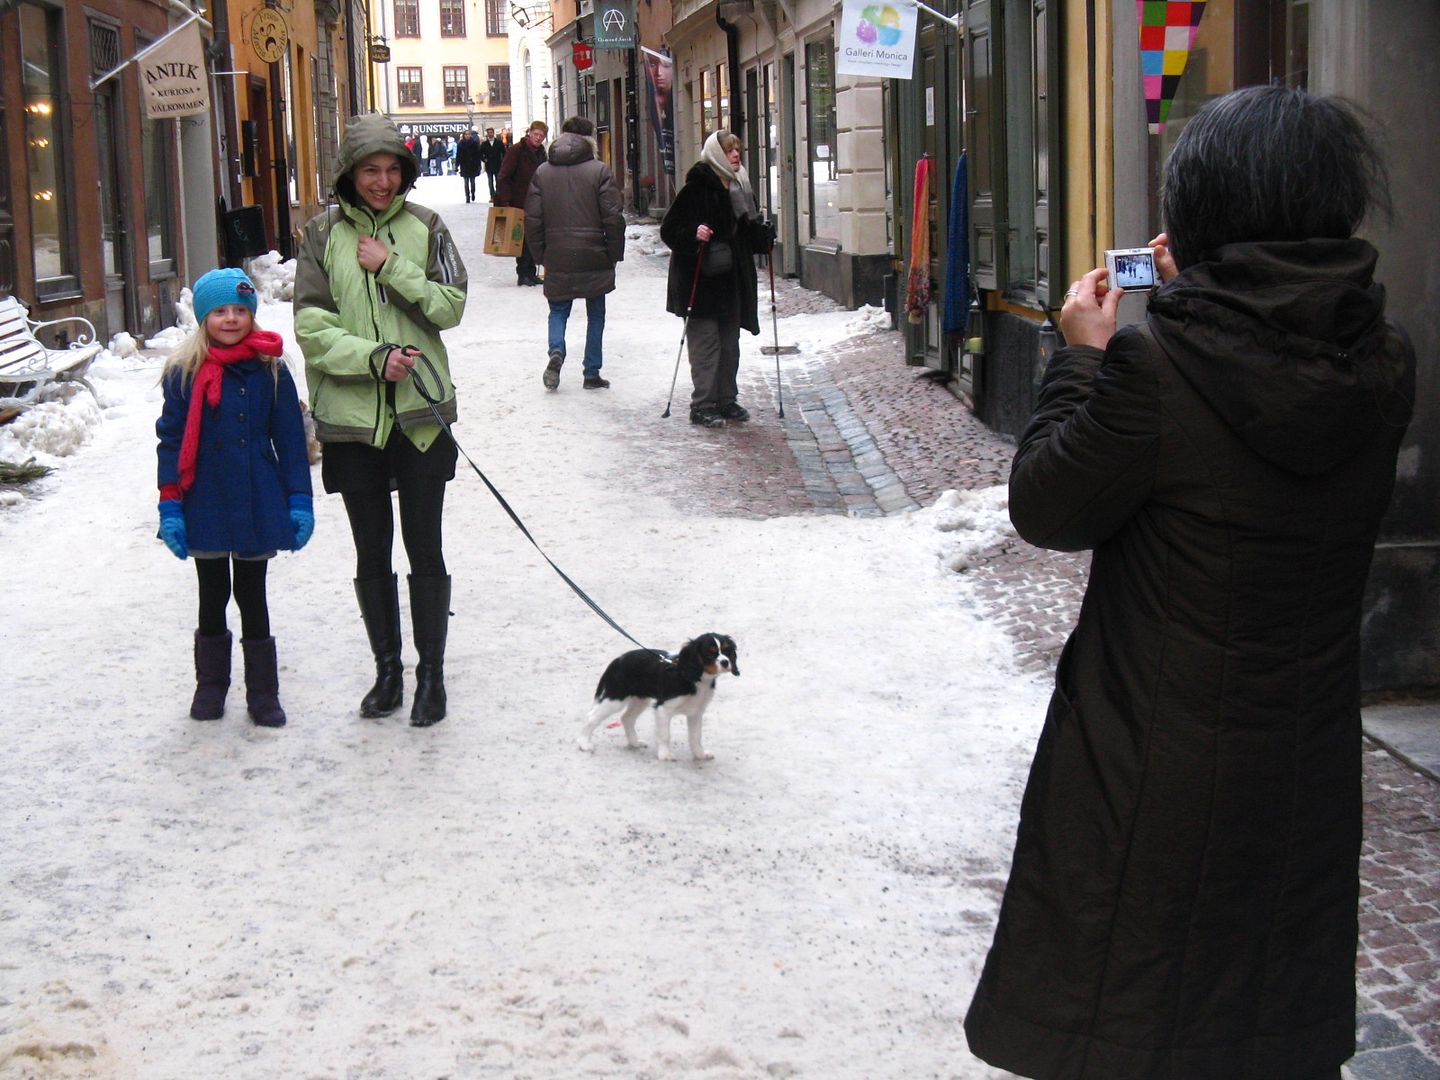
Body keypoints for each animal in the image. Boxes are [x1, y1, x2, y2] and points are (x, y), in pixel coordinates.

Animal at [578, 633, 743, 760]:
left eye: (727, 651)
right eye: (710, 653)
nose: (725, 662)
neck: (694, 678)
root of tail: (618, 660)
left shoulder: (696, 712)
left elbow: (696, 736)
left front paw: (700, 755)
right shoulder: (663, 708)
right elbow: (665, 735)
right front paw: (665, 755)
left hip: (640, 699)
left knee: (627, 718)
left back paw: (635, 742)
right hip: (615, 699)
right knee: (591, 716)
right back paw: (584, 744)